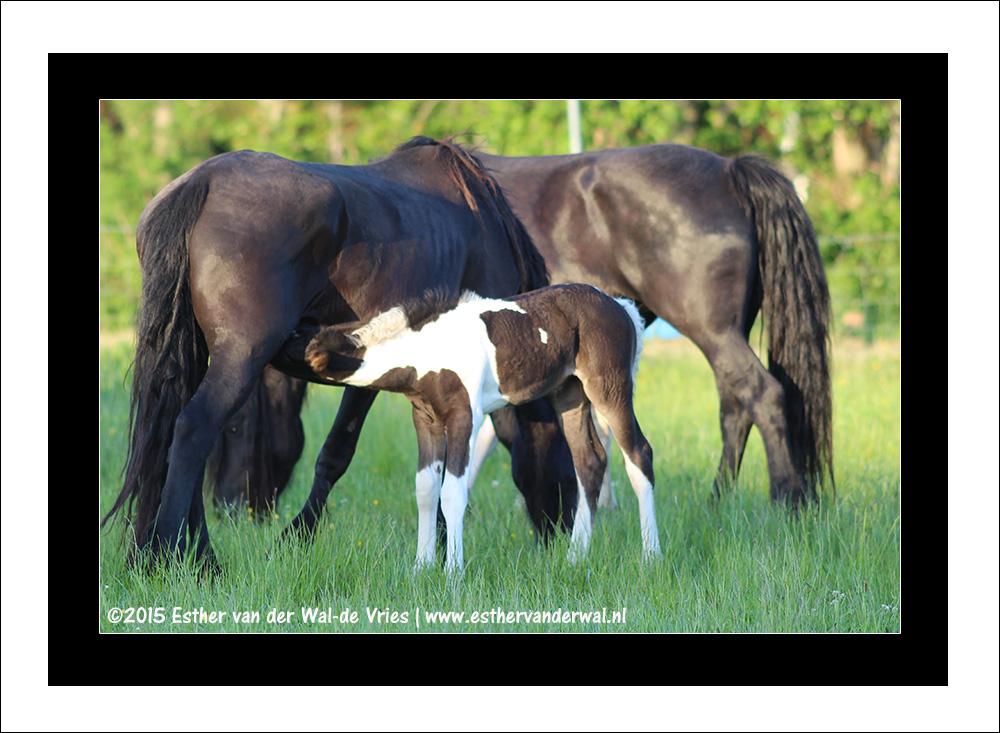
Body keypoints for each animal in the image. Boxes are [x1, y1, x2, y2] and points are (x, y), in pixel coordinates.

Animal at [99, 136, 548, 560]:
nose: (555, 532)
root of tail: (203, 180)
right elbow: (340, 453)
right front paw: (294, 538)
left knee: (174, 431)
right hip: (239, 359)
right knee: (192, 430)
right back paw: (178, 556)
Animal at [304, 280, 664, 572]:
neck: (429, 350)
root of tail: (622, 307)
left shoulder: (465, 417)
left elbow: (452, 492)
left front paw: (453, 573)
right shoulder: (426, 420)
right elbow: (425, 489)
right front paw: (421, 568)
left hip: (609, 389)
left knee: (639, 455)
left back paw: (651, 557)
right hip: (569, 395)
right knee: (589, 461)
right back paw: (575, 558)